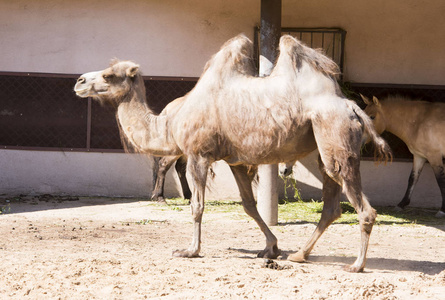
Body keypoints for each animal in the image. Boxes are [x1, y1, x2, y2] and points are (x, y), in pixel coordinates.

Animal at [73, 34, 388, 272]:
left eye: (109, 75)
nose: (79, 81)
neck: (169, 124)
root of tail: (352, 107)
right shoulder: (235, 161)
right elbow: (249, 206)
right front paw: (271, 248)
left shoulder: (198, 154)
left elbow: (197, 206)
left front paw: (190, 250)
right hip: (326, 148)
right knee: (332, 206)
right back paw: (300, 255)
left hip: (334, 131)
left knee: (363, 208)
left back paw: (356, 265)